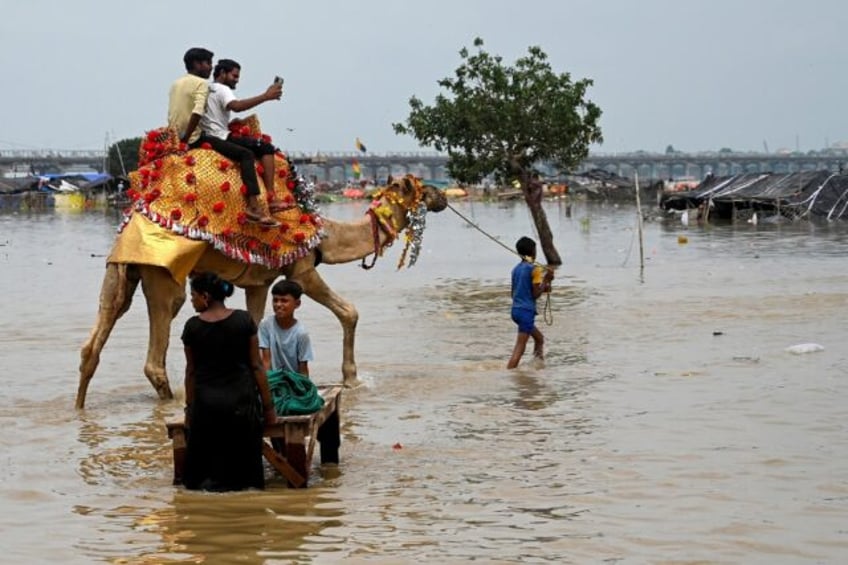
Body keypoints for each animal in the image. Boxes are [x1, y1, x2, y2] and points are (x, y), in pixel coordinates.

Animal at [78, 174, 450, 408]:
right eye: (417, 186)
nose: (443, 196)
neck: (324, 234)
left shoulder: (258, 282)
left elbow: (254, 330)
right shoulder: (302, 269)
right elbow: (349, 311)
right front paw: (352, 379)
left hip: (121, 274)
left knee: (94, 341)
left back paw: (80, 407)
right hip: (162, 277)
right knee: (155, 357)